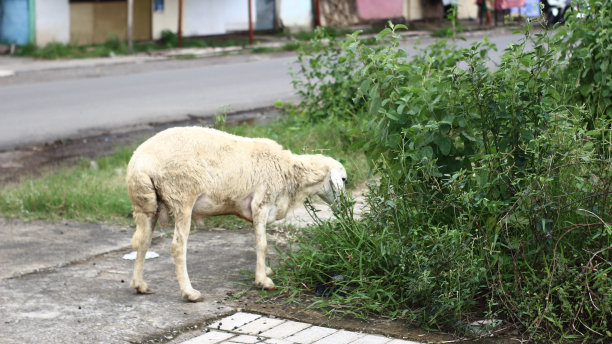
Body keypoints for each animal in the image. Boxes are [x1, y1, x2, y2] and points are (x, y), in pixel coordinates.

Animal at [125, 126, 344, 300]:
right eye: (344, 179)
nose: (345, 207)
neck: (288, 172)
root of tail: (140, 163)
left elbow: (258, 242)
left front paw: (265, 271)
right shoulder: (261, 203)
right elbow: (263, 244)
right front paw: (263, 281)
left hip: (146, 206)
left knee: (143, 243)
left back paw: (140, 285)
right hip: (182, 196)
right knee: (178, 247)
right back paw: (189, 293)